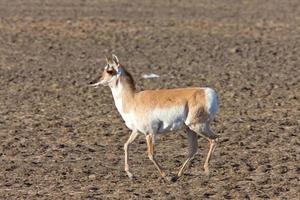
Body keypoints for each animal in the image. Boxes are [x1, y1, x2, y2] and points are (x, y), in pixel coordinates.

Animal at [90, 54, 219, 181]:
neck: (133, 99)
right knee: (192, 151)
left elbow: (150, 155)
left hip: (198, 126)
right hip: (190, 129)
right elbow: (126, 145)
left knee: (214, 139)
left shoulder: (149, 133)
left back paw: (206, 171)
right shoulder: (136, 131)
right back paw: (176, 175)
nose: (92, 82)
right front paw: (130, 174)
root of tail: (208, 92)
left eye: (109, 70)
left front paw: (165, 175)